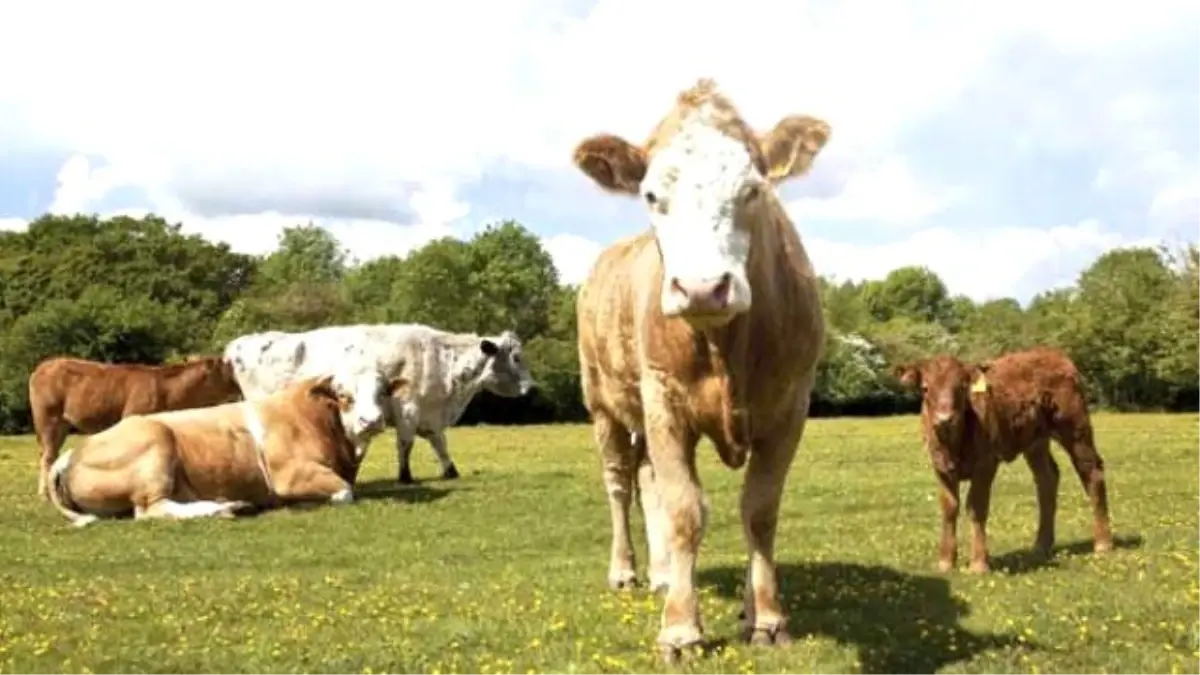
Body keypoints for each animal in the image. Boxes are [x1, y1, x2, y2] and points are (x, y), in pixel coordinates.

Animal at [29, 353, 243, 499]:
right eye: (229, 371)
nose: (240, 388)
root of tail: (45, 365)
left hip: (61, 425)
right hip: (48, 419)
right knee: (48, 456)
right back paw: (44, 494)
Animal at [46, 367, 408, 526]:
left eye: (382, 392)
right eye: (344, 396)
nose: (372, 420)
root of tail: (72, 453)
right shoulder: (290, 475)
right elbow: (345, 492)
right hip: (155, 444)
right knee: (151, 510)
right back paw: (224, 508)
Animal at [225, 324, 535, 480]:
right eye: (516, 357)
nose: (531, 388)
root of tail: (239, 344)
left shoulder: (430, 416)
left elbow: (440, 444)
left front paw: (451, 471)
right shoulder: (408, 409)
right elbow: (405, 445)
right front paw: (405, 476)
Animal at [573, 77, 835, 658]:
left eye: (752, 189)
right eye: (651, 195)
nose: (701, 287)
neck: (726, 348)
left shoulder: (790, 406)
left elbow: (759, 509)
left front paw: (764, 615)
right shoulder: (664, 400)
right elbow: (686, 510)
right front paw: (681, 628)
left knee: (647, 480)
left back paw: (664, 573)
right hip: (602, 404)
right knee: (620, 484)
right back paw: (626, 570)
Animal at [892, 345, 1113, 571]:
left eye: (962, 388)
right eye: (925, 388)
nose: (945, 419)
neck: (953, 444)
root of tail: (1054, 353)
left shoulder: (986, 464)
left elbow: (976, 506)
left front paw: (978, 563)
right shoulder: (941, 467)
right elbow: (949, 507)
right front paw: (945, 561)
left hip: (1076, 429)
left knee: (1091, 471)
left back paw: (1103, 544)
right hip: (1036, 443)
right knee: (1047, 479)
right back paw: (1041, 546)